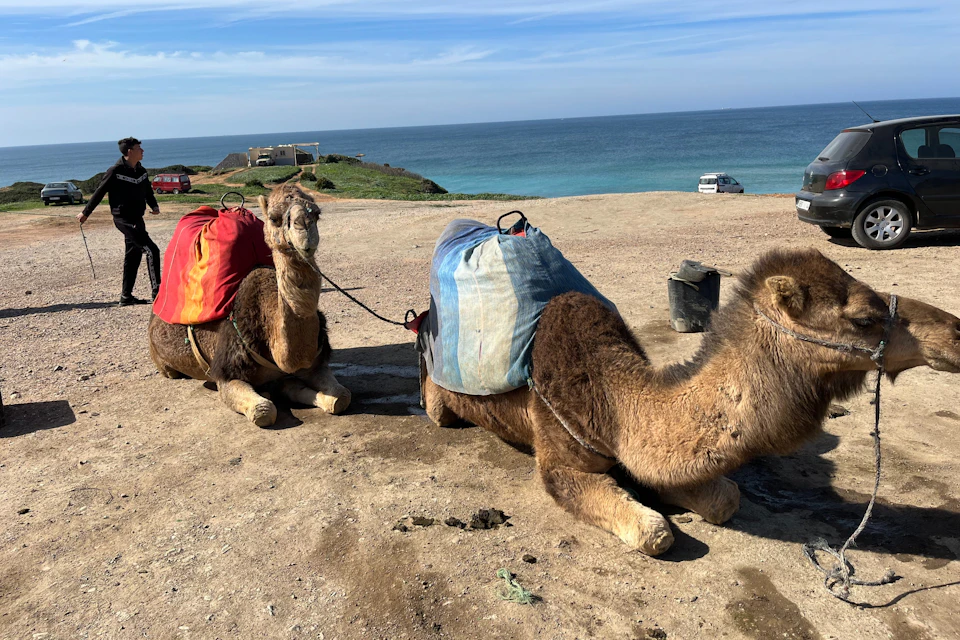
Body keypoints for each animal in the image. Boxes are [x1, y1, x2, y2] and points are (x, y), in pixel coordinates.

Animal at [148, 184, 350, 426]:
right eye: (274, 218)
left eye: (317, 213)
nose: (304, 228)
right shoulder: (227, 374)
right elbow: (264, 410)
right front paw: (267, 395)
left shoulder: (313, 364)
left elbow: (340, 397)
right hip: (161, 360)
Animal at [422, 248, 960, 555]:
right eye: (865, 318)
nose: (956, 332)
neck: (614, 398)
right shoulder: (559, 458)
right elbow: (654, 534)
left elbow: (724, 498)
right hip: (437, 390)